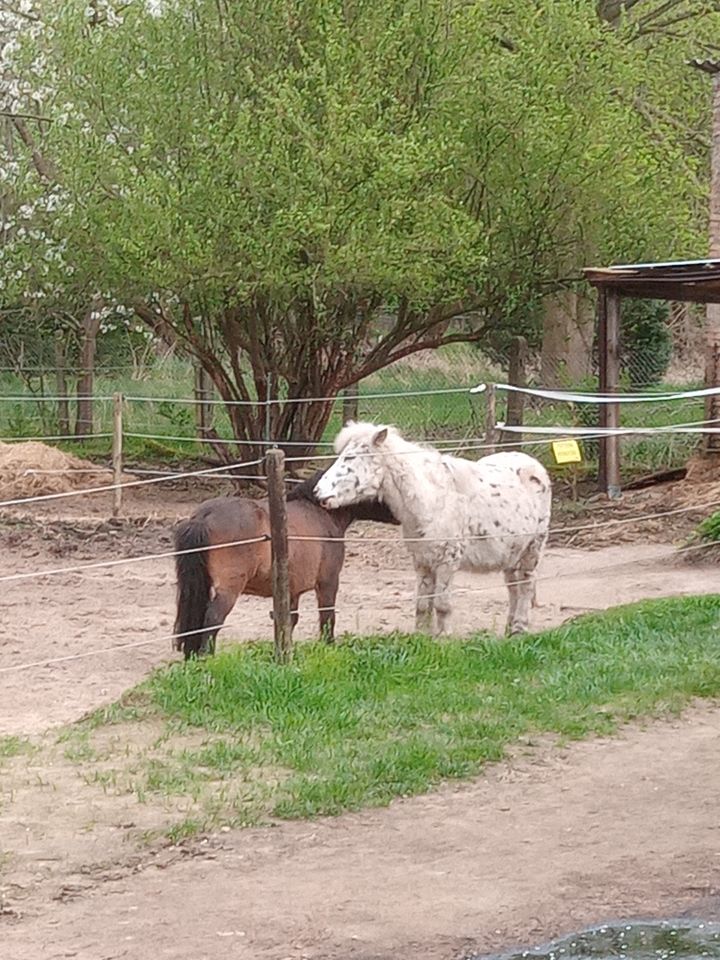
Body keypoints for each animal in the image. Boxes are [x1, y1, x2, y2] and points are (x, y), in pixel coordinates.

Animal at [174, 472, 400, 660]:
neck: (320, 512)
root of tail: (204, 517)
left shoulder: (292, 590)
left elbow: (288, 621)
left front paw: (283, 651)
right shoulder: (328, 582)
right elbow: (327, 617)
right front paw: (328, 647)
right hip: (229, 589)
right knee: (212, 619)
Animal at [314, 422, 552, 636]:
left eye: (350, 458)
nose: (318, 493)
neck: (432, 499)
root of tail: (535, 466)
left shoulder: (447, 562)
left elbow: (442, 604)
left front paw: (443, 639)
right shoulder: (422, 562)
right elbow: (422, 605)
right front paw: (422, 637)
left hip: (532, 548)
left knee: (526, 584)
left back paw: (520, 628)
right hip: (512, 553)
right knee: (514, 587)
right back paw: (509, 629)